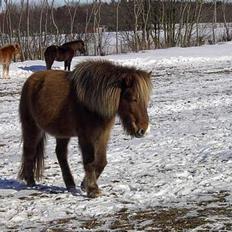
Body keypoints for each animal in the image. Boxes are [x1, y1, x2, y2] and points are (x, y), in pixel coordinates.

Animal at [18, 59, 152, 198]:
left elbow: (101, 161)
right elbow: (89, 160)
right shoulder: (85, 136)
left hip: (62, 133)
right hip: (32, 128)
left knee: (60, 154)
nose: (143, 129)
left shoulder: (103, 134)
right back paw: (31, 182)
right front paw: (92, 189)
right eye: (133, 98)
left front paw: (84, 184)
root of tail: (30, 81)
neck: (91, 102)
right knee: (29, 151)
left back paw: (70, 184)